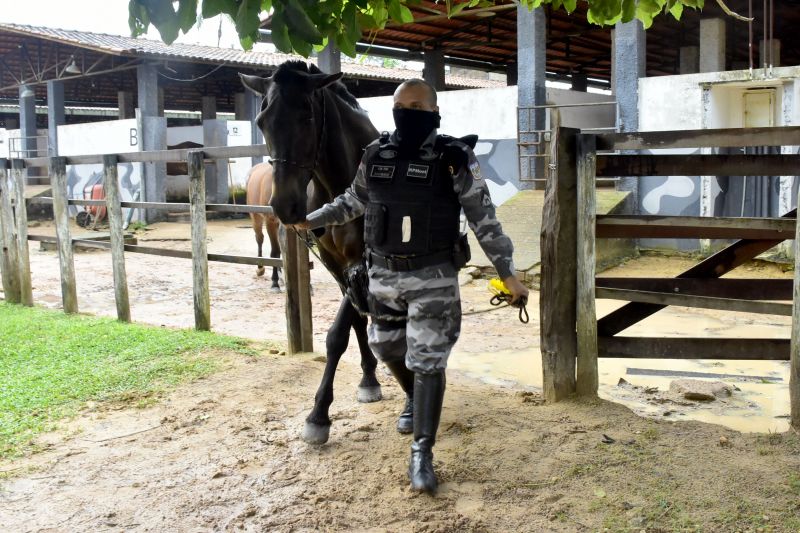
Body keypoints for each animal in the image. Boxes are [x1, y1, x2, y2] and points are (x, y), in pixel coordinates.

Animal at [245, 161, 282, 290]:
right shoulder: (270, 221)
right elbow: (275, 252)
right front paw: (275, 283)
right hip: (256, 217)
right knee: (259, 238)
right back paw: (260, 268)